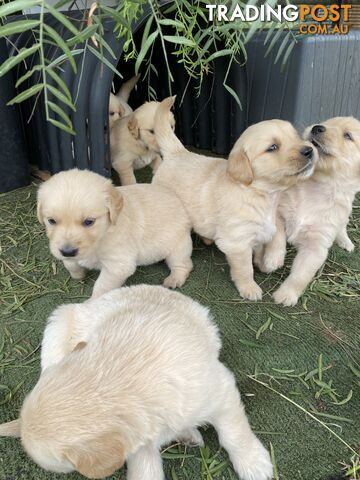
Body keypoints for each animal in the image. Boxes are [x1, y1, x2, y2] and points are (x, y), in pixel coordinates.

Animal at [0, 284, 272, 480]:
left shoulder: (221, 390)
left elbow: (234, 434)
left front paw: (255, 464)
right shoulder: (139, 443)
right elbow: (145, 470)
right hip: (56, 330)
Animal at [36, 168, 193, 296]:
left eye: (89, 222)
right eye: (51, 221)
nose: (68, 251)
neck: (103, 234)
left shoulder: (118, 265)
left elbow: (102, 286)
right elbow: (70, 264)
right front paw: (78, 274)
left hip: (178, 246)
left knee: (184, 264)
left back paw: (174, 279)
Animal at [153, 95, 316, 300]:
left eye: (295, 137)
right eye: (273, 147)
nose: (309, 150)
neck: (260, 194)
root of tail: (177, 153)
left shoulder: (264, 228)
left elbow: (265, 245)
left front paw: (265, 262)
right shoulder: (237, 242)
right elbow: (245, 269)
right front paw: (249, 288)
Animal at [258, 116, 360, 306]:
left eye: (348, 136)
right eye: (327, 122)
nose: (317, 128)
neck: (318, 186)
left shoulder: (316, 246)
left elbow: (300, 276)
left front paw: (286, 295)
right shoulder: (278, 212)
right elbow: (277, 237)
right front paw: (272, 260)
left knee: (343, 227)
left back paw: (346, 242)